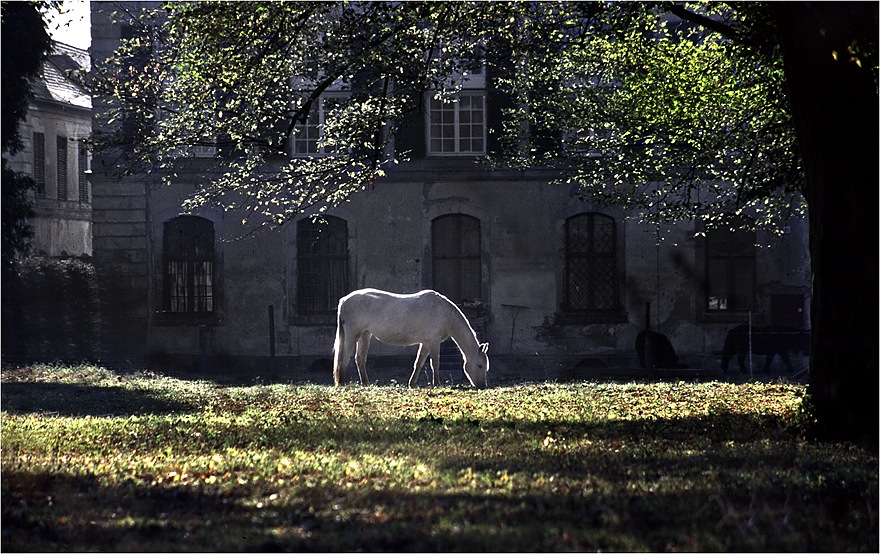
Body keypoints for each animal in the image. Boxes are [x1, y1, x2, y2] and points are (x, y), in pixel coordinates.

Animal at [334, 286, 492, 386]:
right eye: (480, 365)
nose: (482, 386)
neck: (445, 314)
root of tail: (344, 300)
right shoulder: (434, 343)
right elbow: (435, 364)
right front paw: (437, 384)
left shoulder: (426, 343)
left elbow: (419, 363)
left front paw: (412, 383)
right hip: (352, 336)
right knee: (344, 358)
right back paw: (341, 383)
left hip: (365, 335)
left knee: (360, 359)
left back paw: (365, 383)